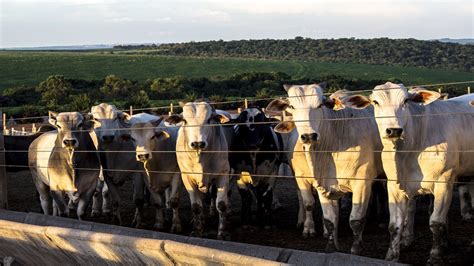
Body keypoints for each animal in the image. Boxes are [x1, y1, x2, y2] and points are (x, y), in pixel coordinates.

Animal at [167, 101, 233, 239]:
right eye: (185, 120)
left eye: (209, 120)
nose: (198, 143)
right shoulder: (186, 176)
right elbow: (196, 206)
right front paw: (197, 230)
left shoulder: (223, 174)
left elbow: (221, 204)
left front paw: (222, 232)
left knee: (214, 196)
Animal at [264, 84, 384, 255]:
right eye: (292, 106)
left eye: (320, 105)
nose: (308, 136)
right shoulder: (313, 181)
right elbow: (321, 211)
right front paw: (319, 235)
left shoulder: (362, 183)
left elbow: (356, 219)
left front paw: (356, 247)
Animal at [342, 82, 474, 262]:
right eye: (375, 102)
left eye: (406, 101)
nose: (394, 130)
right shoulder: (394, 186)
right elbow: (395, 226)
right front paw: (391, 256)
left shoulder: (444, 182)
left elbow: (436, 223)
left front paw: (435, 255)